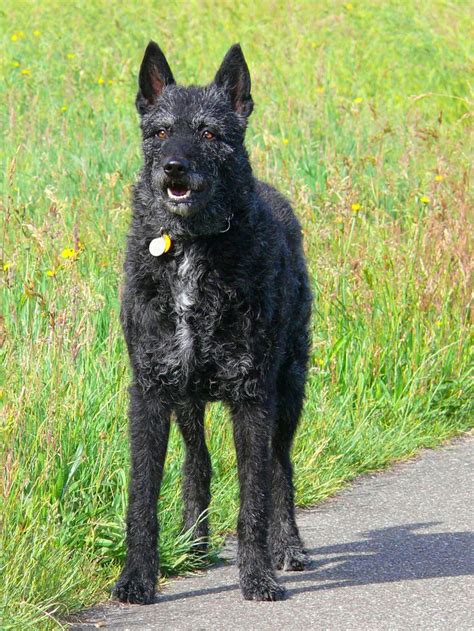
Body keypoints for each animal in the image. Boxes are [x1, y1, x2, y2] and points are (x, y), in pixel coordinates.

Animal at [113, 42, 312, 604]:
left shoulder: (253, 396)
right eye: (160, 131)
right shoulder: (151, 390)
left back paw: (288, 546)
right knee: (198, 461)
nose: (173, 168)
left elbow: (254, 499)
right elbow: (142, 498)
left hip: (288, 389)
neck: (189, 249)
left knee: (280, 467)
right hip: (187, 399)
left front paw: (257, 575)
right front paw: (138, 578)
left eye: (208, 133)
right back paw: (194, 542)